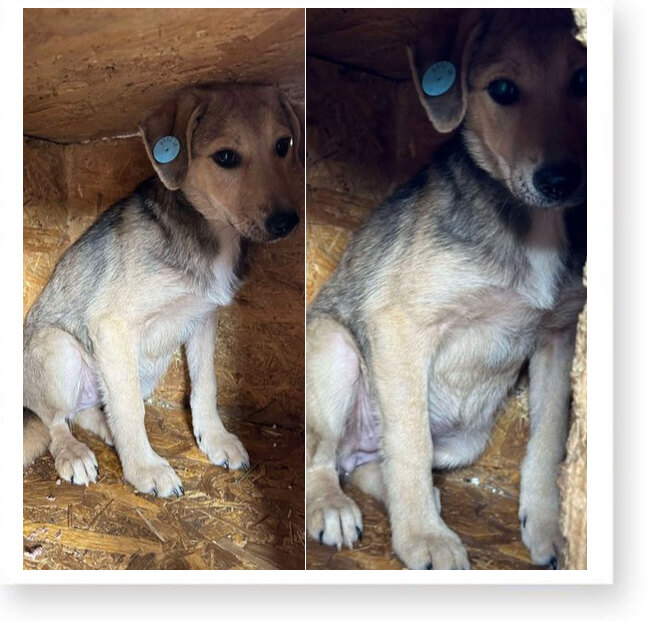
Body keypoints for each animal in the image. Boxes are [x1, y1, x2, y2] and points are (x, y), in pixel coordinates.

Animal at [24, 84, 303, 497]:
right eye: (225, 157)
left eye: (283, 145)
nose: (287, 222)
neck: (209, 236)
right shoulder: (111, 326)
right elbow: (128, 407)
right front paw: (145, 468)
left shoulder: (203, 318)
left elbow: (206, 384)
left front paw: (214, 439)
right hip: (58, 349)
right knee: (57, 420)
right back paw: (74, 453)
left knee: (88, 409)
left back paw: (109, 433)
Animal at [306, 8, 586, 569]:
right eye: (503, 89)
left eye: (583, 80)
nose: (560, 180)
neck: (531, 228)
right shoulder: (400, 327)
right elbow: (411, 442)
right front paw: (425, 538)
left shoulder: (558, 339)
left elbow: (547, 441)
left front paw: (549, 528)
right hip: (334, 347)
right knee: (322, 457)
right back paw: (331, 506)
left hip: (466, 437)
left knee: (370, 464)